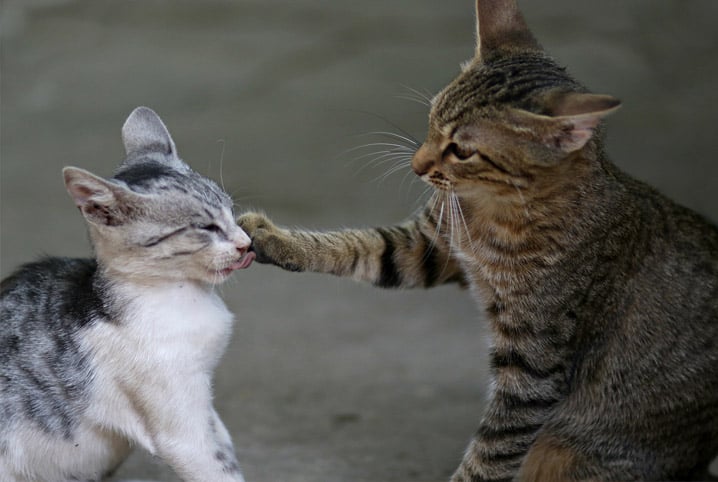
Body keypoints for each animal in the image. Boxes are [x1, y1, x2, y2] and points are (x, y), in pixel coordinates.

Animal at [0, 106, 256, 482]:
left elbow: (224, 445)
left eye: (231, 211)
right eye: (205, 227)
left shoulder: (204, 404)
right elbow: (217, 469)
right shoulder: (181, 425)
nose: (245, 243)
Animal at [239, 0, 718, 482]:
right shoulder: (430, 246)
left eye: (463, 150)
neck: (496, 211)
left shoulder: (533, 365)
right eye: (432, 117)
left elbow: (492, 451)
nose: (416, 165)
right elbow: (357, 246)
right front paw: (276, 240)